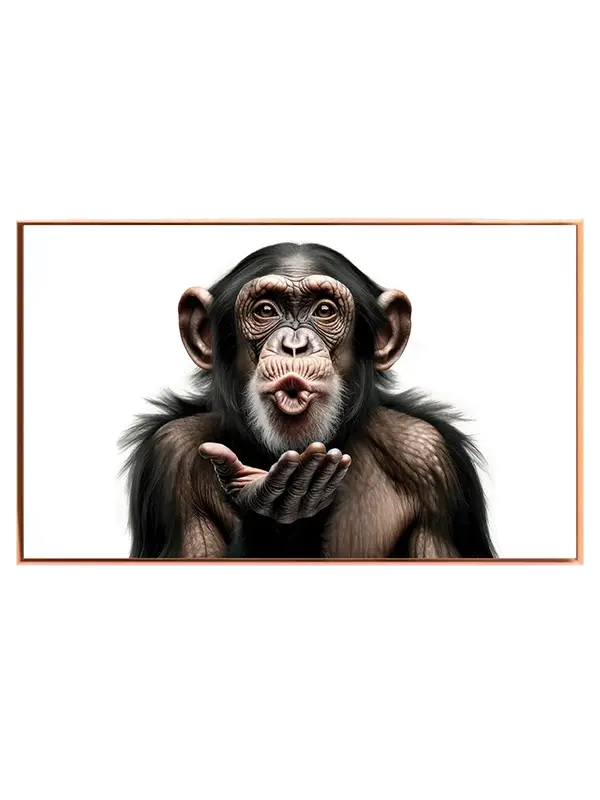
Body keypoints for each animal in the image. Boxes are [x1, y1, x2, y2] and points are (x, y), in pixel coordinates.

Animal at [120, 242, 496, 559]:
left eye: (324, 310)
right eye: (266, 310)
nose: (295, 346)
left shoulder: (432, 460)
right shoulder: (169, 455)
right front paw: (277, 520)